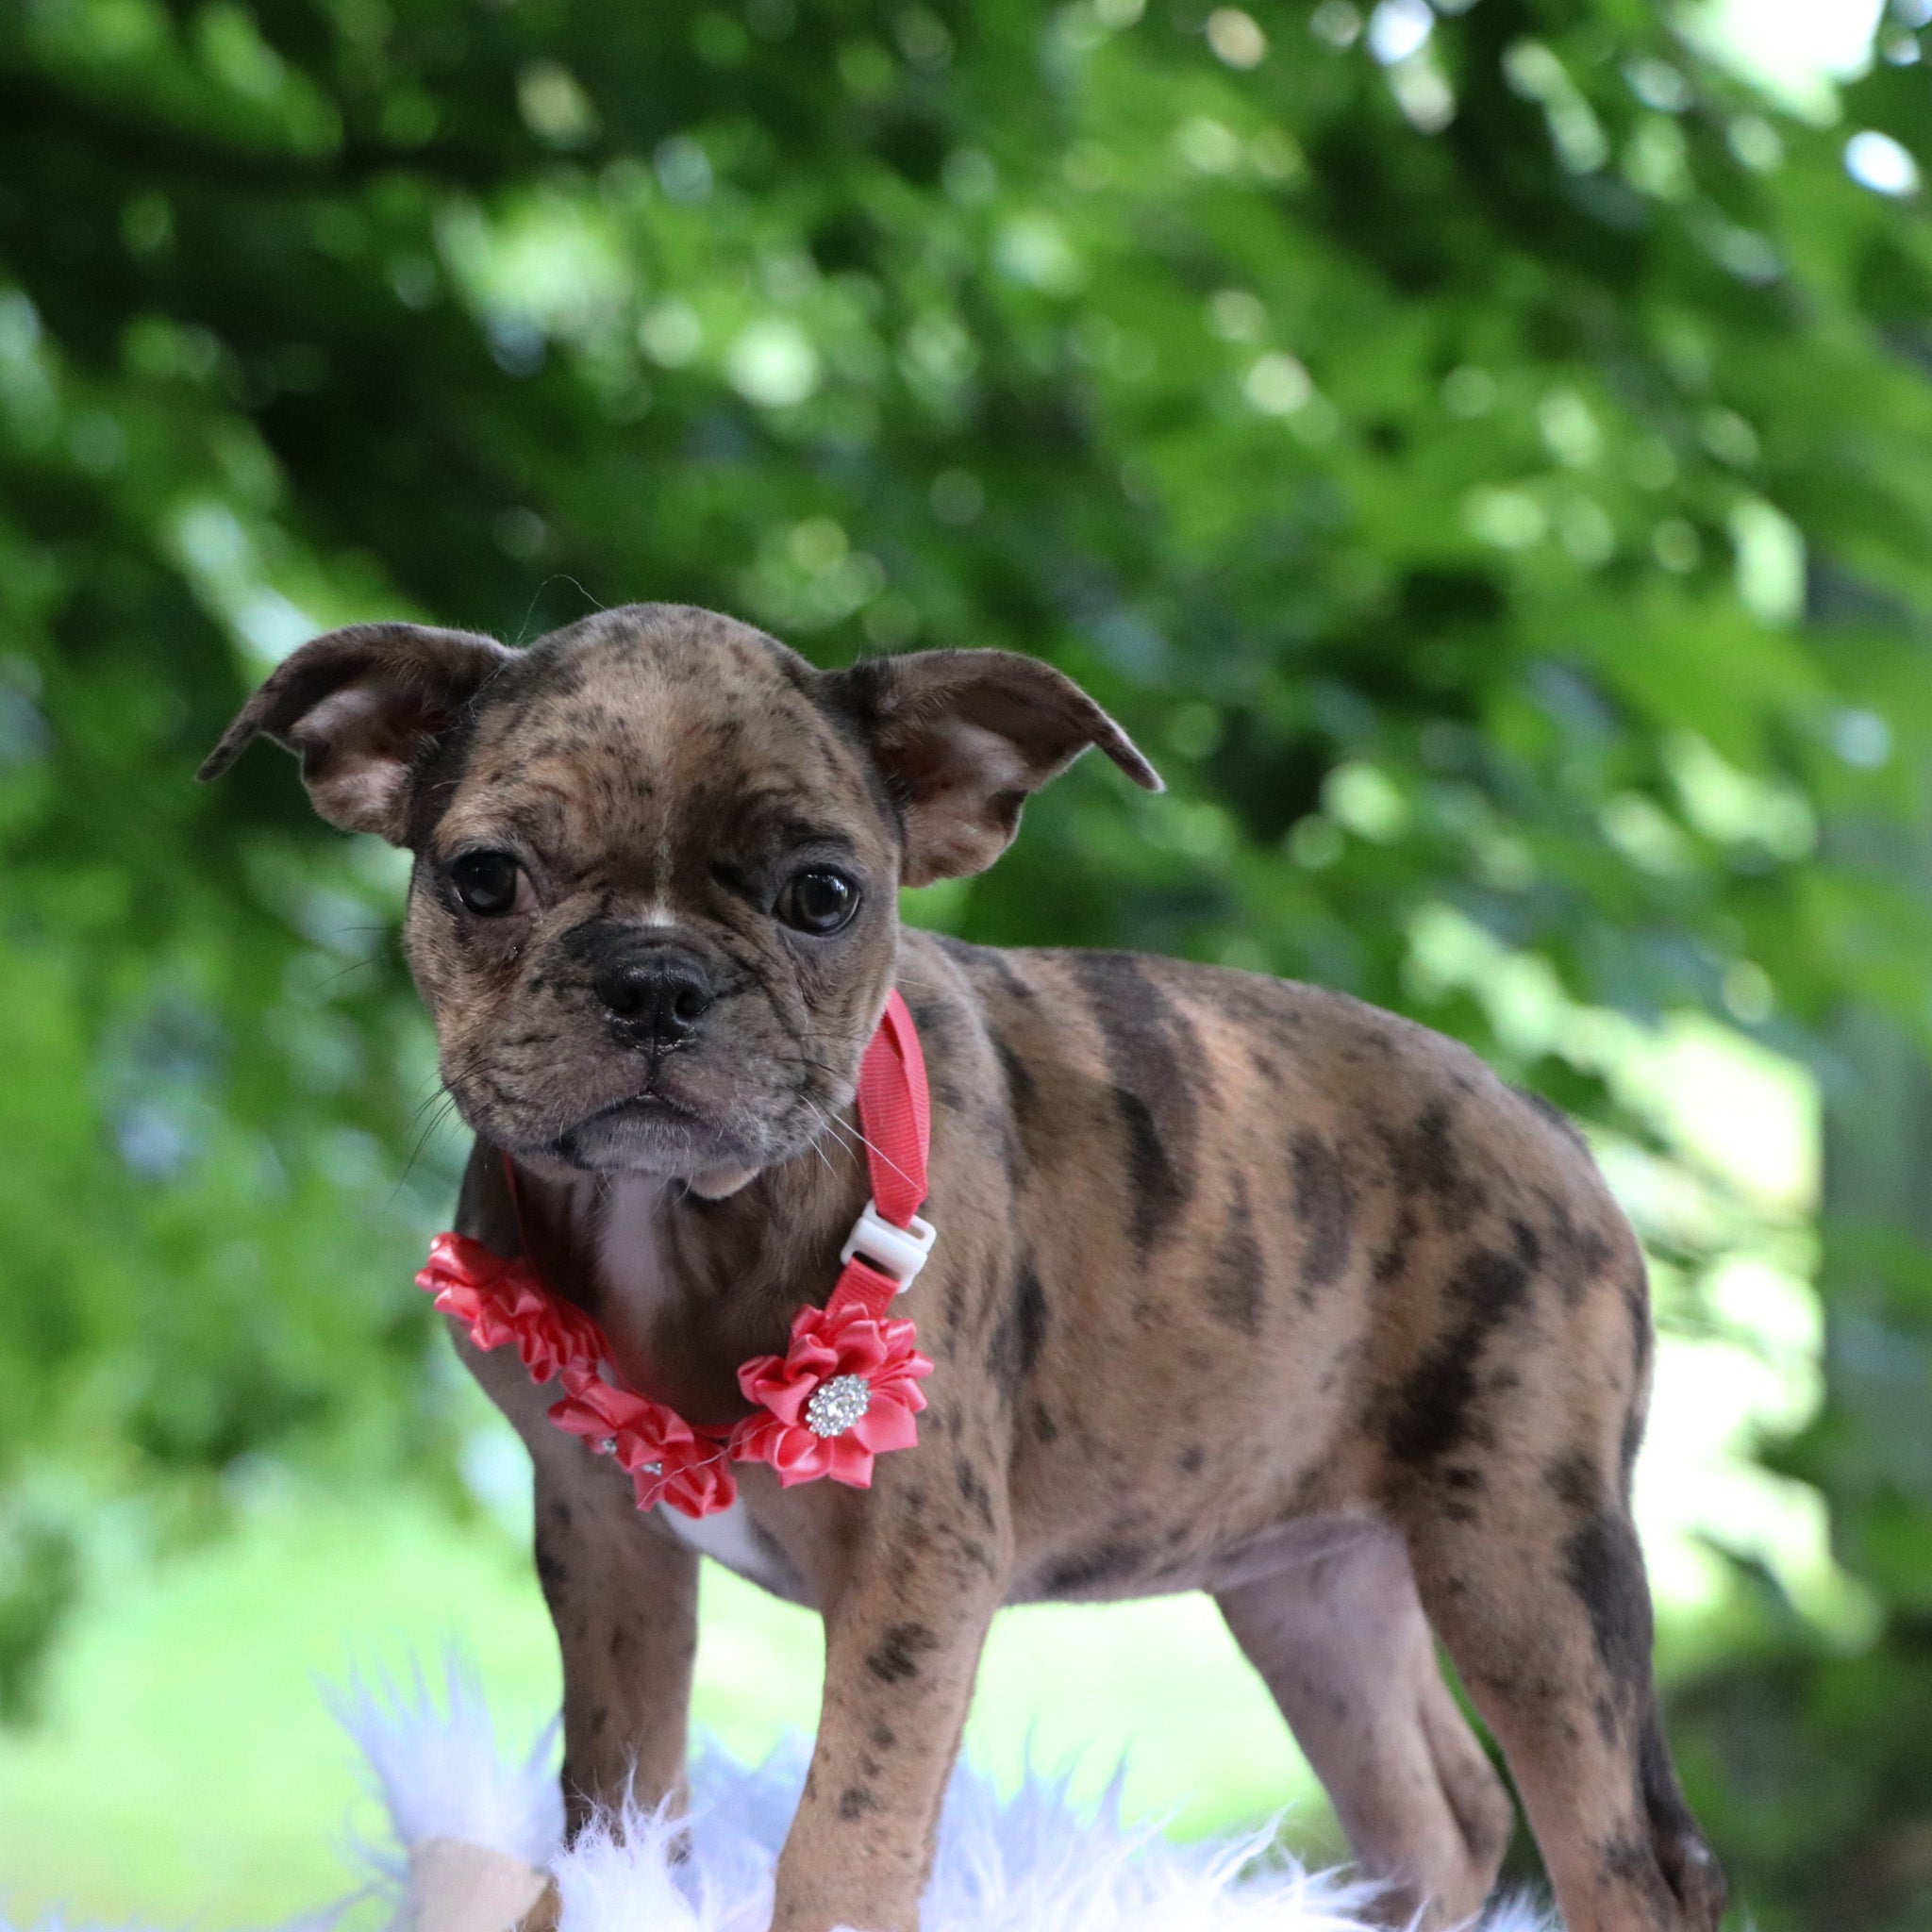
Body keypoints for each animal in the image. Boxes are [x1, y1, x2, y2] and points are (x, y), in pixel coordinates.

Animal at [204, 602, 1731, 1932]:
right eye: (483, 878)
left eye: (823, 893)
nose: (653, 979)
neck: (679, 1213)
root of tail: (1555, 1133)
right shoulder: (605, 1535)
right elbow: (618, 1792)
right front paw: (624, 1880)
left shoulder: (916, 1567)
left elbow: (847, 1834)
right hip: (1312, 1580)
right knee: (1438, 1810)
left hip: (1524, 1557)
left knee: (1625, 1859)